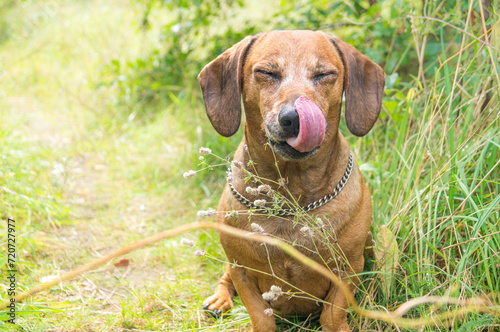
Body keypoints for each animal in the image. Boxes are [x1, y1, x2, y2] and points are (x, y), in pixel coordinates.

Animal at [197, 29, 384, 330]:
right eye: (266, 72)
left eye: (325, 74)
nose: (293, 118)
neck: (291, 196)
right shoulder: (242, 270)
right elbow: (260, 316)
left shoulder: (349, 267)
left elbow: (332, 313)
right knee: (224, 278)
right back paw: (219, 299)